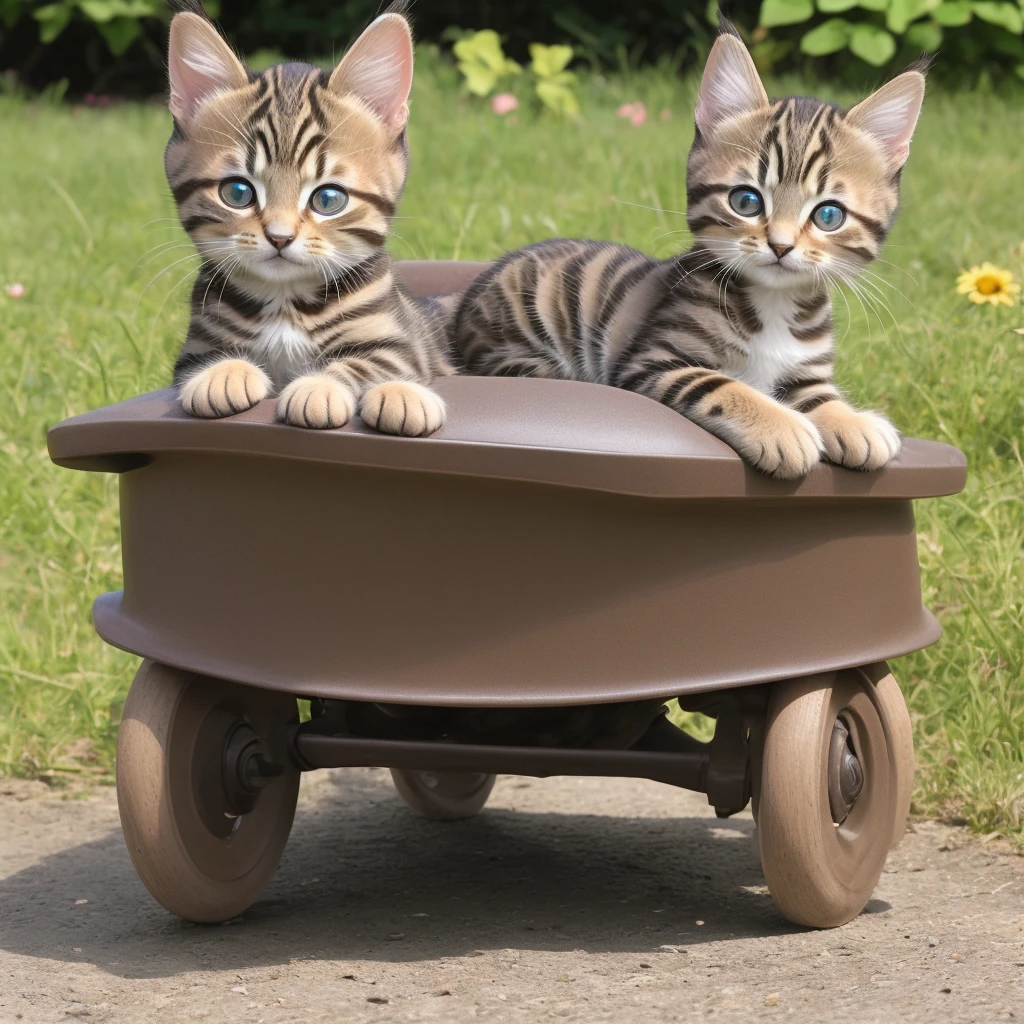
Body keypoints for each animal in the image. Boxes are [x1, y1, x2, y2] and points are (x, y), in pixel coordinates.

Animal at [166, 6, 448, 436]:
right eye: (237, 193)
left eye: (328, 199)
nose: (279, 237)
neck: (285, 303)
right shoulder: (196, 345)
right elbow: (203, 361)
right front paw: (222, 374)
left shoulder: (400, 346)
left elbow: (367, 364)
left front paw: (320, 387)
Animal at [452, 27, 925, 475]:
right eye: (746, 201)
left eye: (828, 215)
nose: (780, 245)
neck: (773, 303)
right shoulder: (652, 360)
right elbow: (722, 385)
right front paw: (782, 427)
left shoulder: (807, 371)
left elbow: (821, 397)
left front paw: (854, 422)